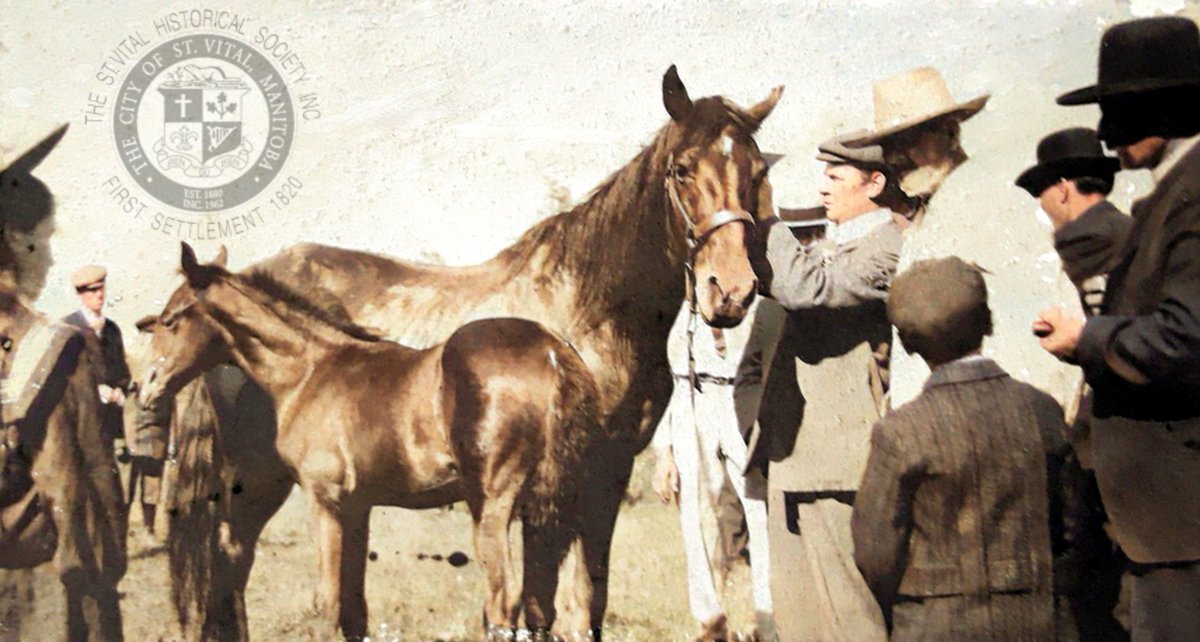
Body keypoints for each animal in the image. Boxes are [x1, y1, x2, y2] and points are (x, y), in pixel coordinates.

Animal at [142, 242, 602, 640]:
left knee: (503, 603)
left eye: (171, 319)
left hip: (493, 504)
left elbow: (327, 602)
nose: (147, 388)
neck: (311, 372)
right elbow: (353, 606)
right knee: (558, 605)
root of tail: (552, 354)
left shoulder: (325, 500)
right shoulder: (357, 506)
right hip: (561, 503)